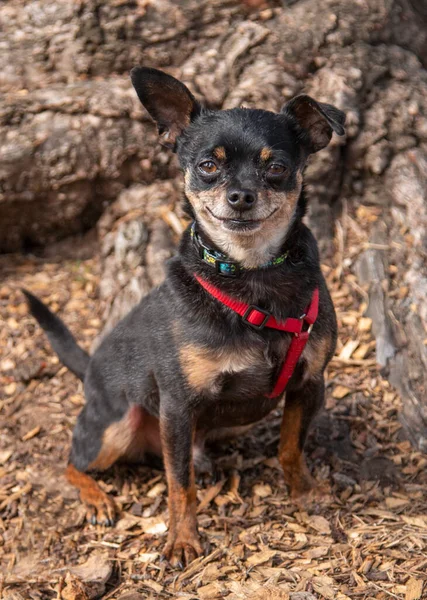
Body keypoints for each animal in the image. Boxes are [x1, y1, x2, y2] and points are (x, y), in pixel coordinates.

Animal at [22, 65, 344, 568]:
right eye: (208, 166)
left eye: (276, 168)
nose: (240, 196)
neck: (251, 275)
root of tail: (89, 369)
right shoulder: (177, 405)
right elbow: (179, 484)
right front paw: (182, 540)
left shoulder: (309, 383)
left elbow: (290, 447)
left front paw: (305, 492)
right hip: (119, 423)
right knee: (73, 461)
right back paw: (97, 498)